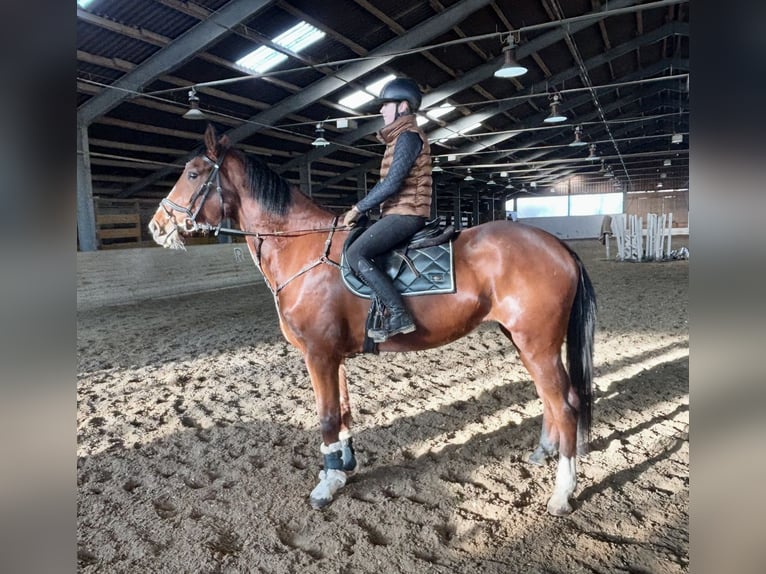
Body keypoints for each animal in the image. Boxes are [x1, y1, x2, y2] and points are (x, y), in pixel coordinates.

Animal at [147, 122, 596, 516]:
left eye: (192, 173)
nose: (156, 225)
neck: (303, 250)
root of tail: (555, 246)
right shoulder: (333, 356)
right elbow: (343, 411)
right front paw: (343, 467)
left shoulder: (318, 354)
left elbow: (327, 416)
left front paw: (326, 485)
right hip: (523, 341)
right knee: (550, 399)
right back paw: (543, 453)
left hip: (537, 343)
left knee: (566, 405)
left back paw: (561, 494)